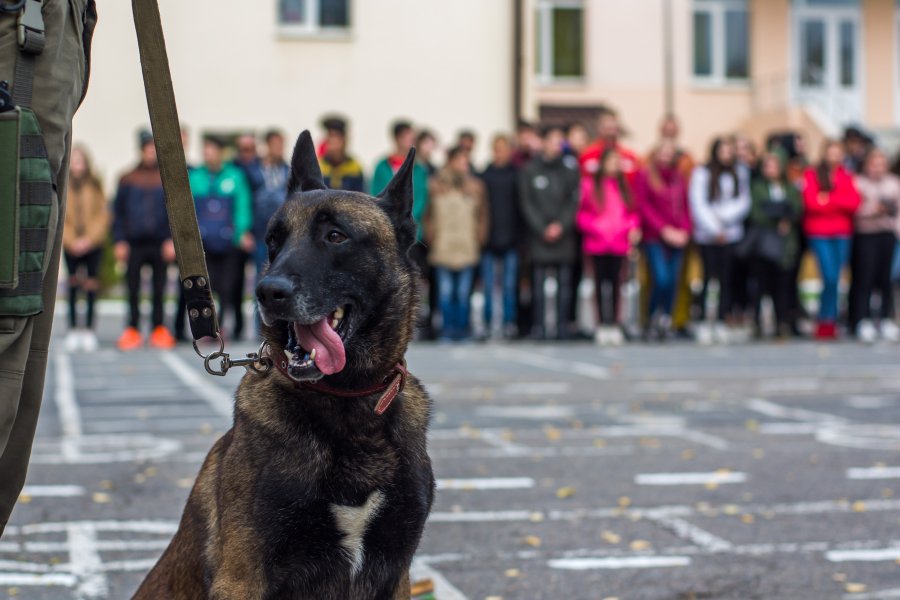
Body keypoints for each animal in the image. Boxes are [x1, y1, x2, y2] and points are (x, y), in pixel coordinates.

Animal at [134, 131, 440, 600]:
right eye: (274, 241)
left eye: (336, 236)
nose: (266, 292)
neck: (347, 402)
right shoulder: (243, 575)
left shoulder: (395, 574)